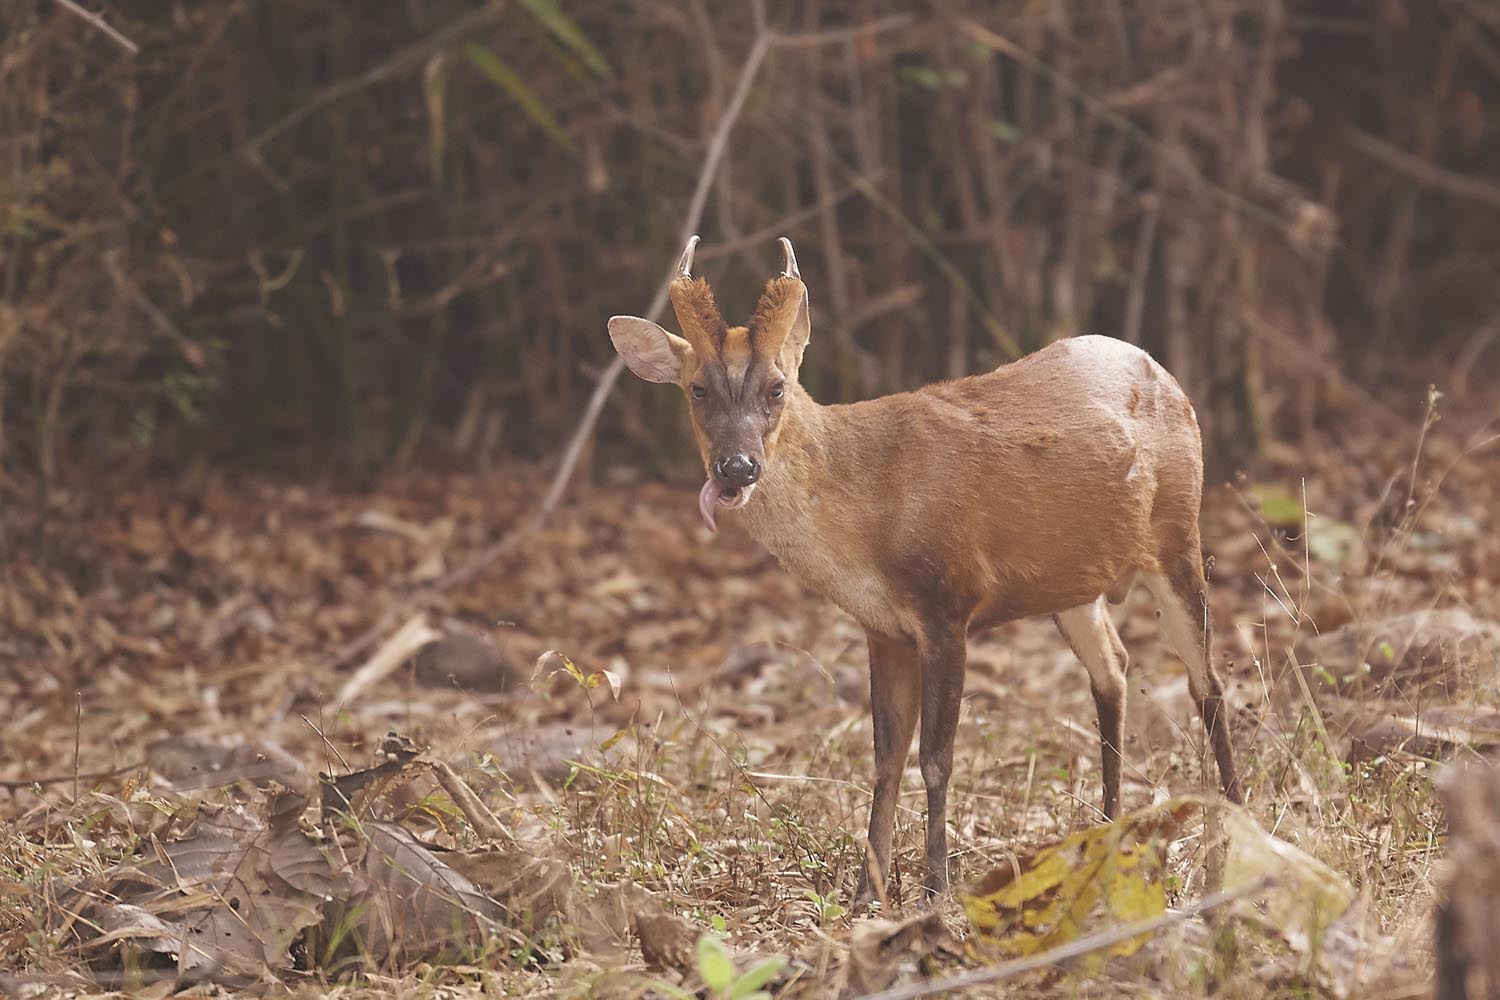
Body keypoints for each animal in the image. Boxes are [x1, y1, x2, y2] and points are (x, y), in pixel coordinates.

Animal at [607, 236, 1244, 904]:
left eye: (777, 388)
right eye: (697, 389)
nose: (735, 467)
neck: (867, 517)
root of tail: (1167, 376)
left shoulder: (948, 603)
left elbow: (936, 757)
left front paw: (935, 888)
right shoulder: (883, 628)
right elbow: (885, 758)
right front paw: (868, 891)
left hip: (1179, 533)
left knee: (1208, 683)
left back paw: (1231, 842)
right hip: (1075, 582)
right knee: (1114, 669)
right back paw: (1106, 838)